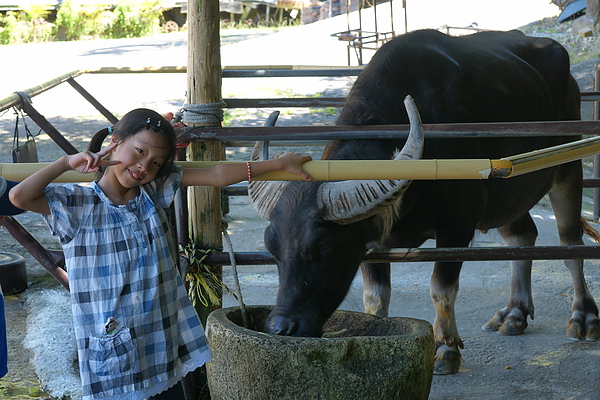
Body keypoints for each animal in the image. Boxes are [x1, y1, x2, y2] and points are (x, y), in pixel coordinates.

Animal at [246, 28, 596, 376]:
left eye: (325, 248)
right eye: (272, 249)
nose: (281, 327)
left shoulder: (458, 224)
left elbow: (441, 288)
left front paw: (445, 349)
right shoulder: (372, 238)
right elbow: (375, 296)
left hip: (568, 167)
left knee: (569, 242)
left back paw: (583, 317)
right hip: (509, 192)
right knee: (522, 237)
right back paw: (514, 313)